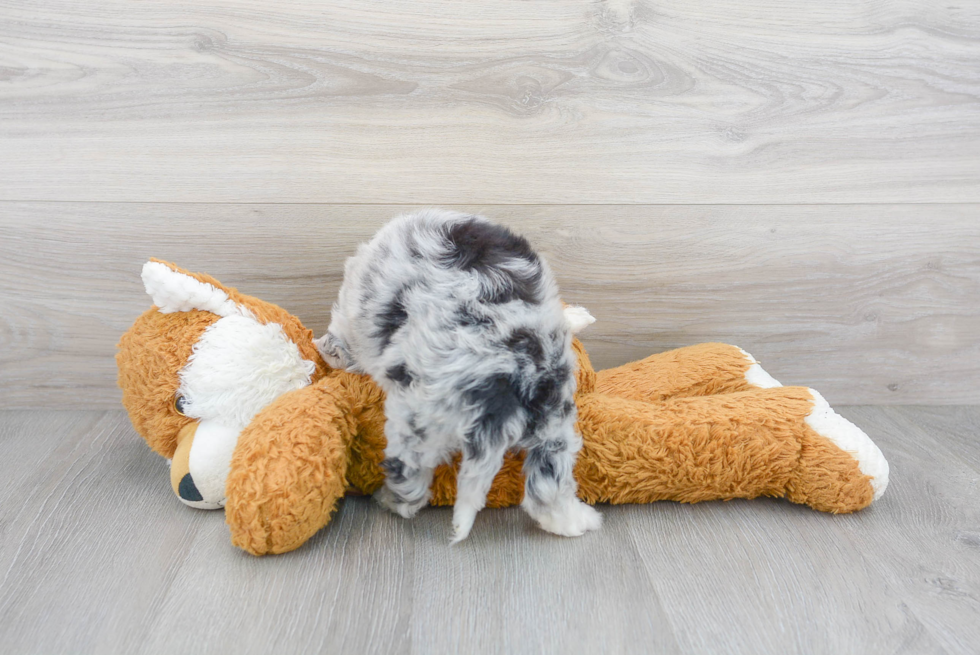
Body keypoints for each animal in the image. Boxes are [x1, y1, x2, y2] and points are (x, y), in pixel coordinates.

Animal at [318, 210, 600, 544]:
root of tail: (501, 388)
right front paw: (578, 317)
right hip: (554, 424)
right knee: (547, 488)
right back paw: (579, 521)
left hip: (416, 424)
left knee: (409, 483)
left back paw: (388, 500)